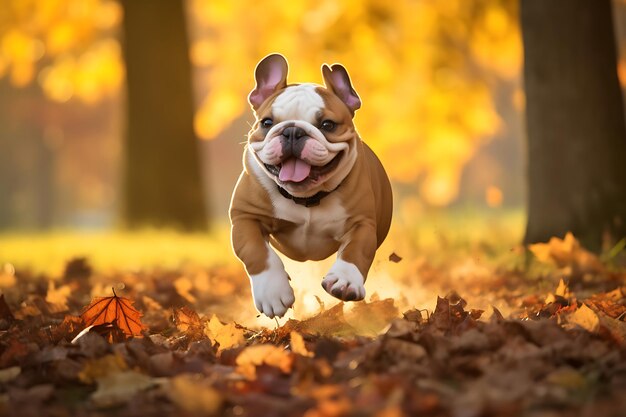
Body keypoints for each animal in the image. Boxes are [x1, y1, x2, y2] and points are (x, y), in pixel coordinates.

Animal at [229, 53, 390, 316]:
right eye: (267, 122)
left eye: (327, 125)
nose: (292, 131)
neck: (306, 198)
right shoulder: (245, 216)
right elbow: (256, 251)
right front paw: (273, 292)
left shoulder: (362, 222)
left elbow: (356, 250)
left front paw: (345, 281)